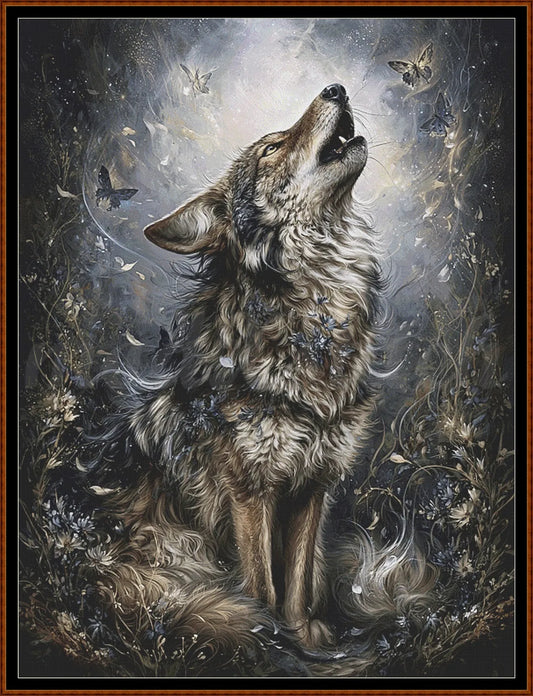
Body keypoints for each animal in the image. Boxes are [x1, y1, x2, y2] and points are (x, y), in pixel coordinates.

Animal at [86, 84, 434, 668]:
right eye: (272, 148)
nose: (336, 88)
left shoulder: (312, 486)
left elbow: (295, 579)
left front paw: (302, 635)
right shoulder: (250, 491)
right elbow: (262, 582)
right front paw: (269, 640)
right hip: (174, 550)